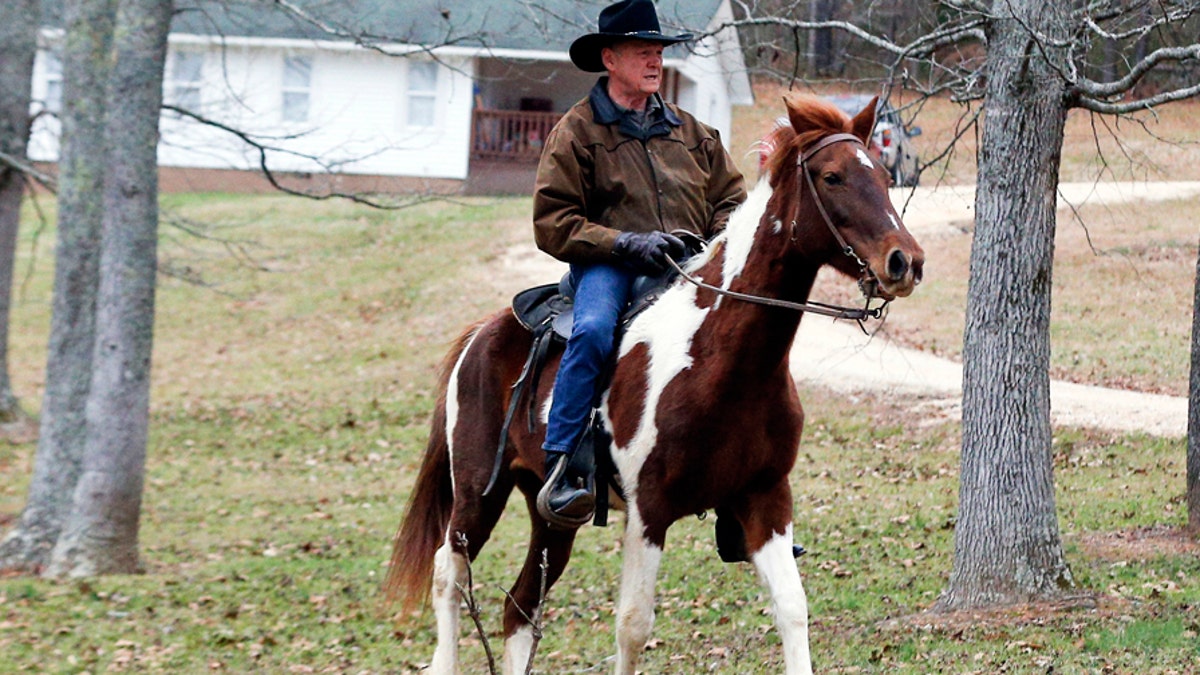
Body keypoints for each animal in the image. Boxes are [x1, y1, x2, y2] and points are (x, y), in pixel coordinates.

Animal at [385, 93, 925, 675]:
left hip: (551, 516)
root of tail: (481, 334)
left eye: (882, 174)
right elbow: (633, 626)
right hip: (475, 496)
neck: (720, 362)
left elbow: (792, 608)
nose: (906, 261)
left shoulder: (766, 499)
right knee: (448, 574)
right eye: (832, 176)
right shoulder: (649, 511)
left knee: (520, 608)